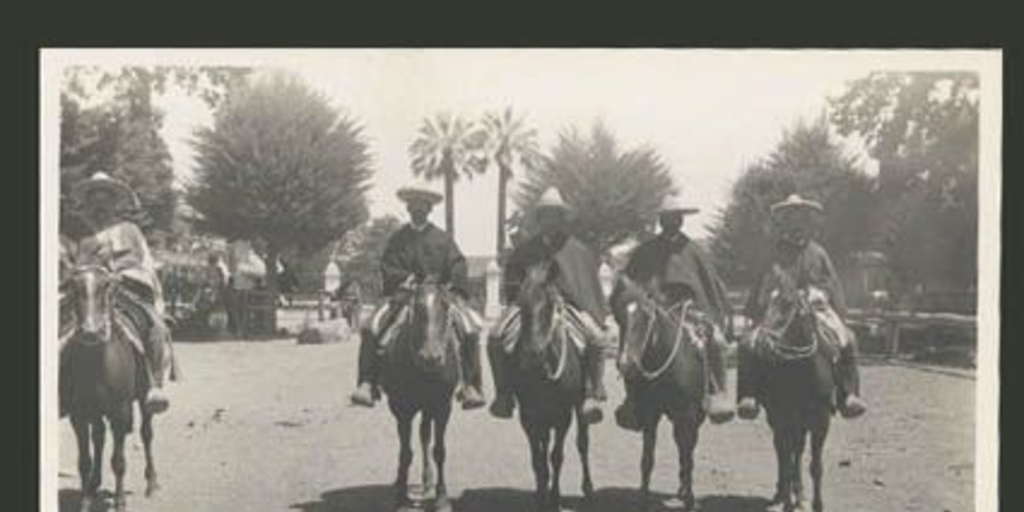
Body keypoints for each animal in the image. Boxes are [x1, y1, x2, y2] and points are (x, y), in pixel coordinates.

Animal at [59, 260, 159, 512]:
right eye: (73, 286)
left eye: (106, 285)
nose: (91, 332)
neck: (96, 364)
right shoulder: (79, 415)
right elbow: (84, 460)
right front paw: (85, 502)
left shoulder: (120, 412)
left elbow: (119, 461)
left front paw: (120, 501)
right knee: (99, 436)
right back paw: (94, 484)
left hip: (144, 397)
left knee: (146, 433)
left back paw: (152, 482)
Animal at [380, 278, 460, 512]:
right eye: (416, 307)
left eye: (446, 305)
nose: (431, 357)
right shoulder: (402, 409)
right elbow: (405, 452)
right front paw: (400, 496)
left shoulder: (442, 407)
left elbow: (439, 450)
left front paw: (442, 498)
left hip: (428, 408)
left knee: (425, 435)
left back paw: (427, 480)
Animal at [509, 262, 593, 512]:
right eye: (521, 305)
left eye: (549, 305)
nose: (532, 356)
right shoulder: (528, 416)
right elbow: (538, 459)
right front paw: (540, 496)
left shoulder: (563, 416)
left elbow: (556, 456)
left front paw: (554, 498)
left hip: (578, 407)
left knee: (582, 443)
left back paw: (588, 488)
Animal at [614, 278, 712, 509]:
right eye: (619, 316)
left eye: (647, 317)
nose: (626, 364)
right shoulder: (651, 413)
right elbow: (647, 459)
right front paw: (642, 499)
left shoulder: (688, 415)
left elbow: (687, 455)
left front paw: (690, 499)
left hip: (692, 418)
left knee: (687, 449)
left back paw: (684, 489)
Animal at [753, 280, 839, 512]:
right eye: (765, 304)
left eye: (787, 305)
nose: (762, 342)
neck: (805, 374)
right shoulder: (785, 418)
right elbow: (786, 459)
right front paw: (787, 502)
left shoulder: (821, 421)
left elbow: (815, 466)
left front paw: (817, 504)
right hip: (777, 419)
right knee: (782, 452)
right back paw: (782, 492)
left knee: (797, 451)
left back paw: (798, 493)